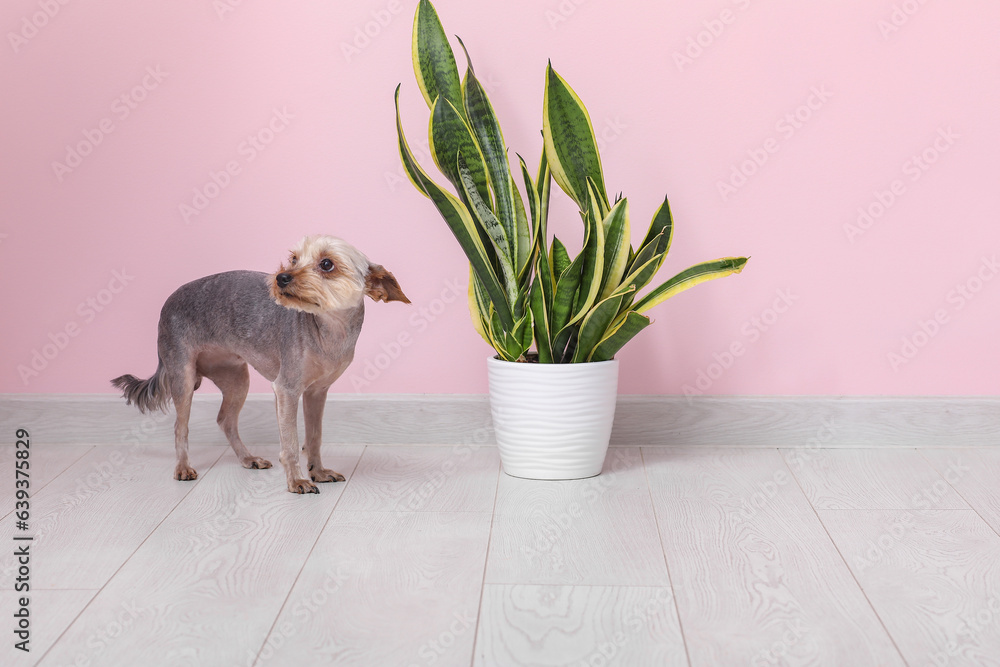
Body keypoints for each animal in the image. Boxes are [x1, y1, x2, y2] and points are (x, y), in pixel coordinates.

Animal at [115, 235, 412, 490]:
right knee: (181, 426)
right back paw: (183, 467)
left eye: (327, 264)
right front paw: (298, 481)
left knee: (226, 420)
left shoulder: (317, 393)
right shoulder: (287, 390)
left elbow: (314, 437)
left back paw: (248, 459)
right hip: (183, 375)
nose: (281, 277)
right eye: (294, 259)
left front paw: (318, 472)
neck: (327, 328)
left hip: (237, 379)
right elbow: (291, 442)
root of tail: (167, 303)